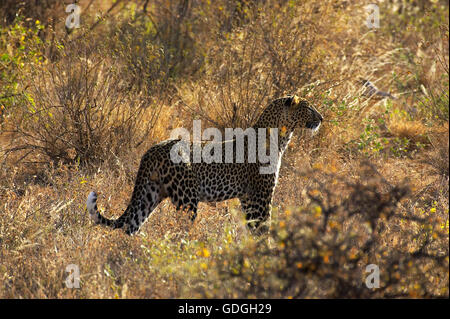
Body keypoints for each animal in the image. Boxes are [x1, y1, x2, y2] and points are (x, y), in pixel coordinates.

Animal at [86, 95, 322, 235]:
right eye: (308, 108)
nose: (321, 118)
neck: (280, 138)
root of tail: (152, 150)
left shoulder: (248, 198)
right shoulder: (260, 196)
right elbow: (264, 229)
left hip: (149, 194)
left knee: (130, 225)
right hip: (187, 199)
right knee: (180, 232)